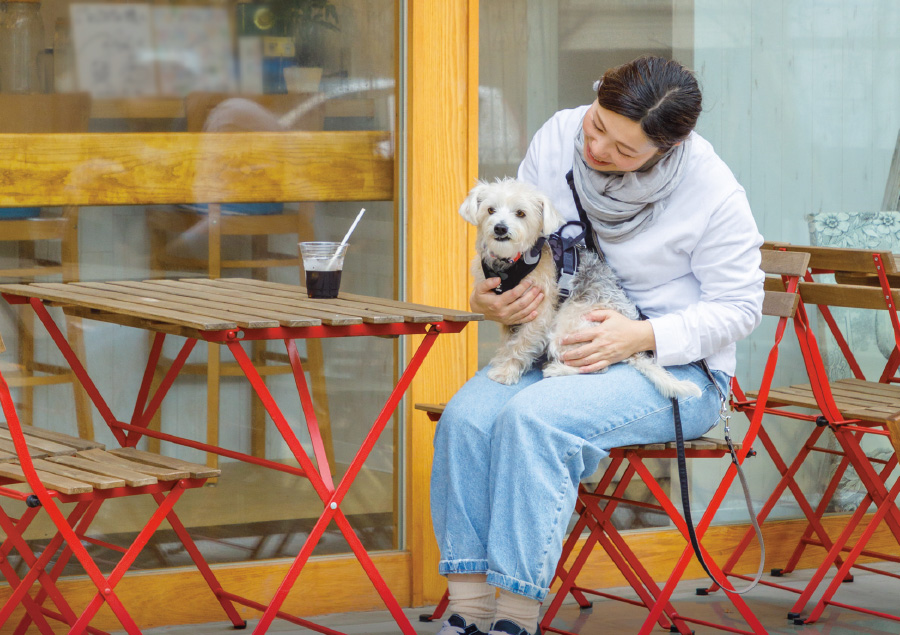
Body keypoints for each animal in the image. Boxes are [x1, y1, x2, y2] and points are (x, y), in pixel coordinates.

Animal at [464, 176, 704, 400]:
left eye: (520, 213)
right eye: (490, 210)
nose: (500, 227)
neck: (511, 263)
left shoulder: (540, 315)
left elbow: (520, 344)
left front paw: (506, 371)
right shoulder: (511, 317)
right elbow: (508, 342)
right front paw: (500, 361)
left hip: (567, 328)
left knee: (598, 368)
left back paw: (556, 369)